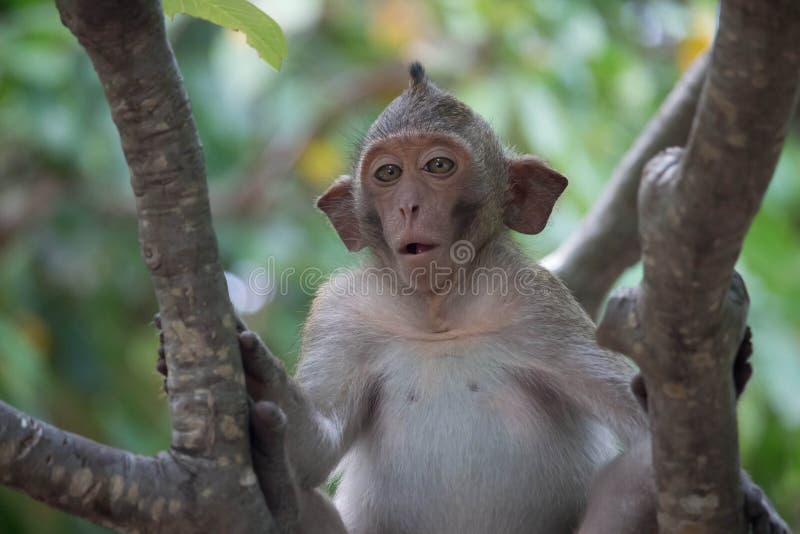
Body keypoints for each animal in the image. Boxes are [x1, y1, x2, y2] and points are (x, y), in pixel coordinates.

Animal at [156, 63, 788, 534]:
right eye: (388, 174)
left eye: (438, 166)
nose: (409, 205)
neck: (439, 314)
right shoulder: (342, 312)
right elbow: (314, 449)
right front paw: (252, 370)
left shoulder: (540, 306)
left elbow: (639, 426)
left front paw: (748, 483)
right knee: (302, 488)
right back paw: (279, 494)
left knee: (639, 470)